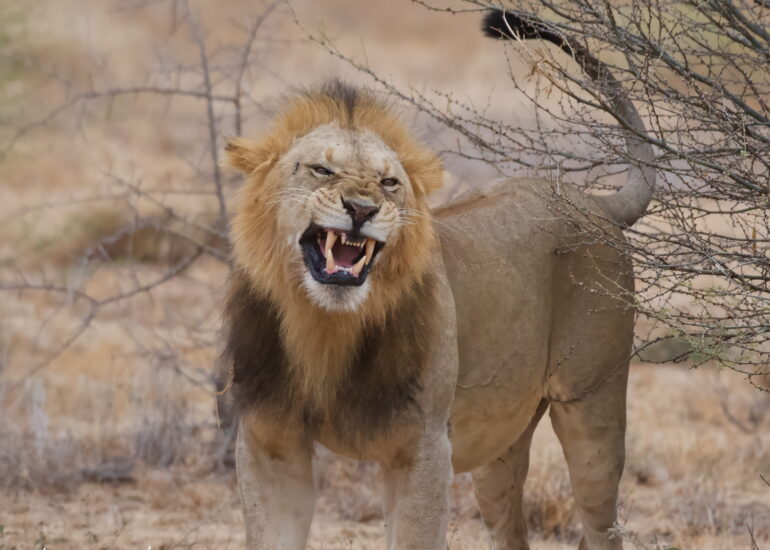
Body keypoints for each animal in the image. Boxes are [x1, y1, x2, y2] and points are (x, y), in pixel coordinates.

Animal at [220, 10, 655, 550]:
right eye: (320, 169)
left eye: (389, 182)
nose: (361, 209)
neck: (324, 327)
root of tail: (593, 201)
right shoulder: (269, 442)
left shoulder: (424, 448)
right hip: (498, 441)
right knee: (512, 529)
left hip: (592, 407)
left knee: (601, 523)